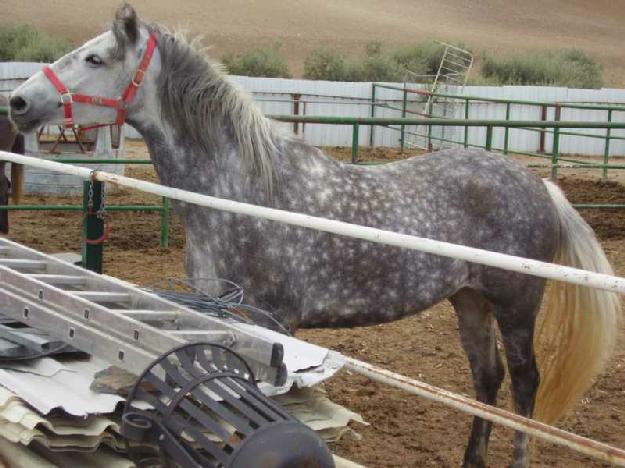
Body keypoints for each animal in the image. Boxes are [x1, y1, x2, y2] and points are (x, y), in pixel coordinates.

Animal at [8, 4, 620, 468]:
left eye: (96, 57)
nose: (17, 101)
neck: (241, 191)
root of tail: (540, 184)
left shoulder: (273, 323)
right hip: (468, 300)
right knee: (486, 380)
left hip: (516, 305)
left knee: (524, 384)